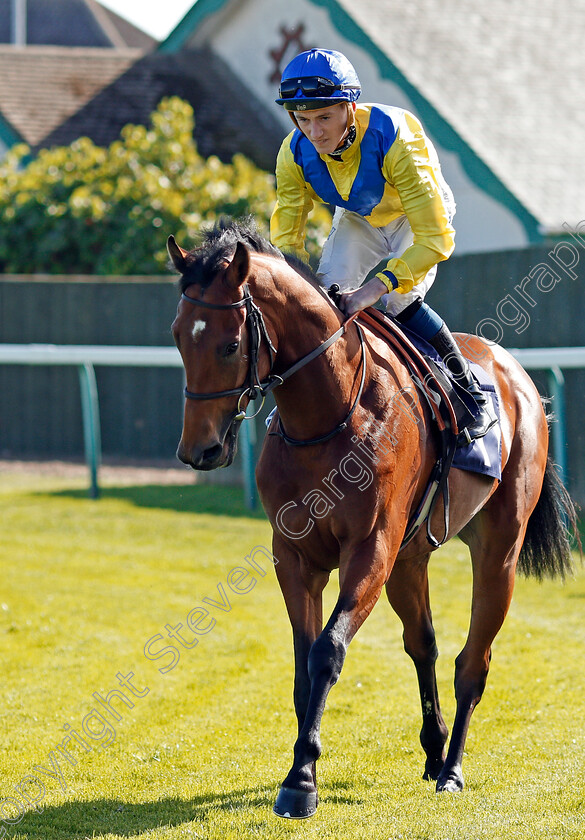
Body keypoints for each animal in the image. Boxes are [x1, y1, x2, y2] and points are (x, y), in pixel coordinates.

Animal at [168, 220, 576, 816]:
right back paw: (433, 752)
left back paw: (452, 769)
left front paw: (301, 781)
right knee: (423, 644)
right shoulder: (295, 554)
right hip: (410, 559)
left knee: (473, 662)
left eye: (230, 344)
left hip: (498, 550)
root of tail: (518, 375)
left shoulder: (370, 550)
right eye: (178, 336)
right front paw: (303, 766)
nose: (199, 451)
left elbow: (327, 651)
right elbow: (302, 663)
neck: (330, 415)